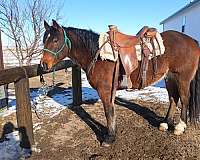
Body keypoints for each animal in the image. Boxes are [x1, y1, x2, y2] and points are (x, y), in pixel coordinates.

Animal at [40, 19, 200, 146]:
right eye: (44, 40)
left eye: (55, 40)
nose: (43, 65)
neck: (97, 55)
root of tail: (192, 41)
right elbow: (111, 112)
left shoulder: (105, 91)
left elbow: (108, 112)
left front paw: (109, 137)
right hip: (170, 77)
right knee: (173, 98)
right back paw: (166, 124)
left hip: (182, 78)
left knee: (184, 98)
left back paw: (180, 127)